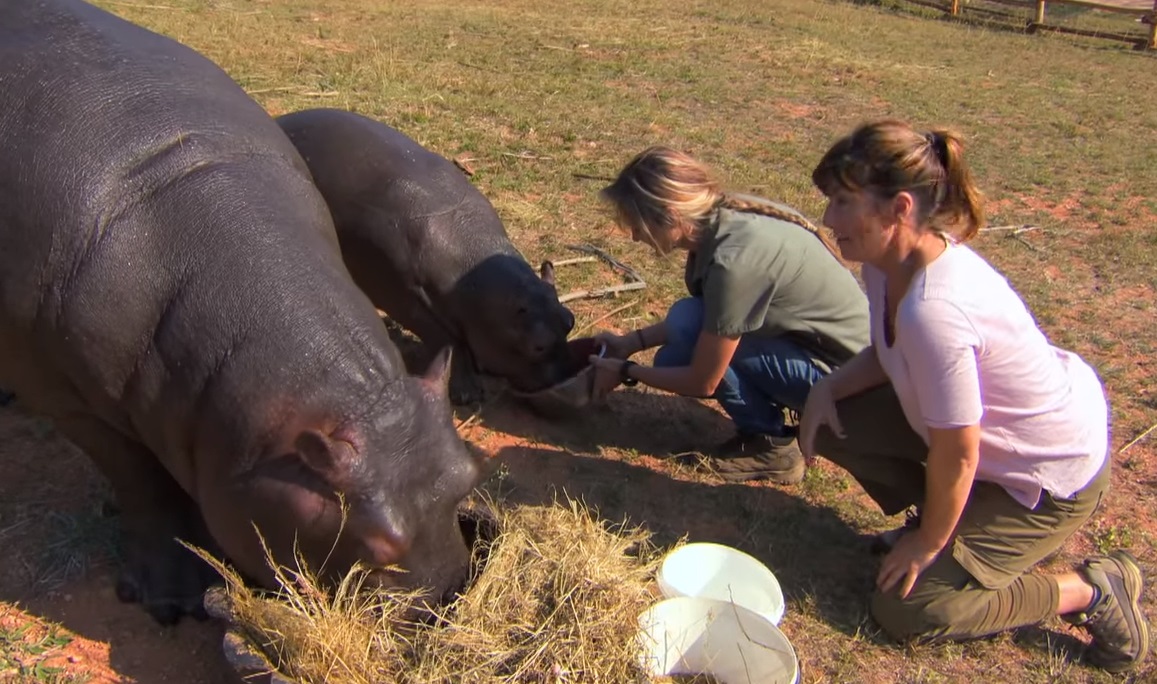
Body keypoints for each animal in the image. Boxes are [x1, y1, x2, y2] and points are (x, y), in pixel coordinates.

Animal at [0, 0, 483, 624]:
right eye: (380, 546)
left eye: (467, 475)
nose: (448, 600)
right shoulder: (73, 405)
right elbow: (142, 485)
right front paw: (173, 599)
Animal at [271, 108, 578, 405]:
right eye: (538, 345)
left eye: (569, 320)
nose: (565, 380)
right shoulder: (406, 298)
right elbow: (449, 340)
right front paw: (466, 394)